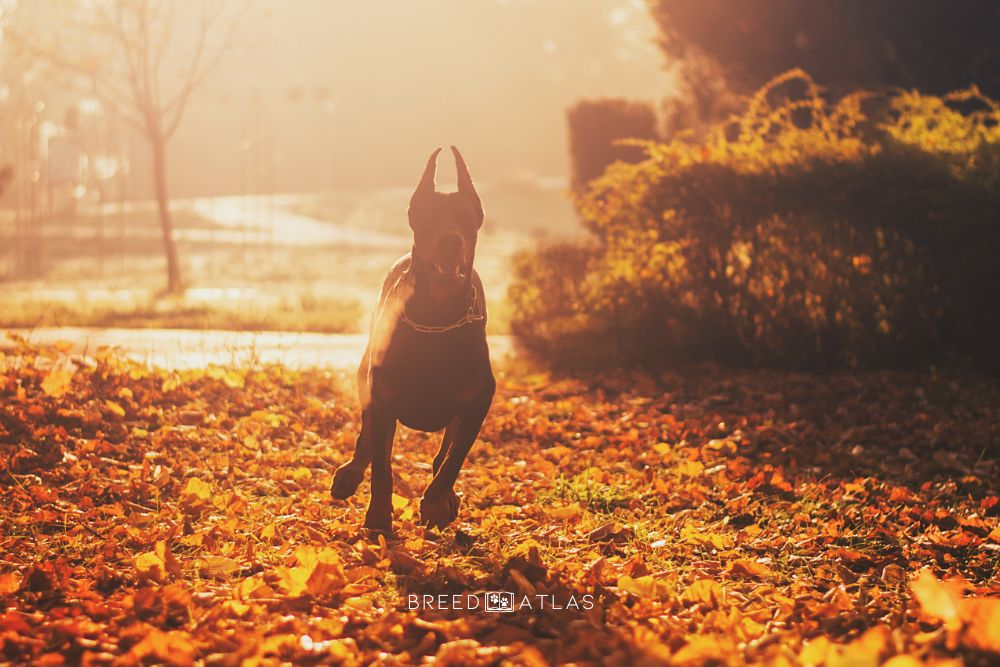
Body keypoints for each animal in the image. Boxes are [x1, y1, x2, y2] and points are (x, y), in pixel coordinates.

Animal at [332, 146, 496, 532]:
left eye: (466, 217)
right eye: (429, 216)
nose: (450, 240)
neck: (436, 319)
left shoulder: (479, 399)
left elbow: (452, 460)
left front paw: (436, 503)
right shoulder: (382, 395)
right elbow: (381, 462)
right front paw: (378, 515)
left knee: (443, 452)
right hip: (365, 371)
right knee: (366, 436)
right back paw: (349, 474)